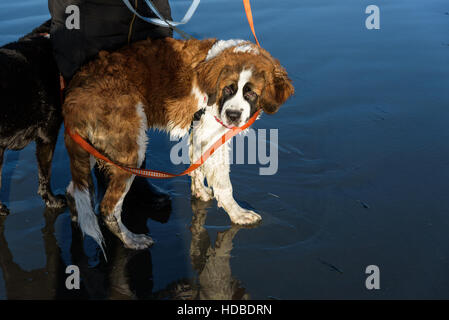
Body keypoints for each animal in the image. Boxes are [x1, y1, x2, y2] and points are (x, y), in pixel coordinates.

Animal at [63, 37, 294, 250]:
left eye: (251, 93)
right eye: (228, 89)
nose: (233, 115)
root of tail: (73, 95)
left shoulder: (199, 132)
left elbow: (197, 165)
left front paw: (200, 192)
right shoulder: (212, 133)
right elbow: (223, 184)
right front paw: (237, 214)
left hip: (91, 147)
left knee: (74, 189)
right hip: (129, 149)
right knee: (108, 207)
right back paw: (131, 240)